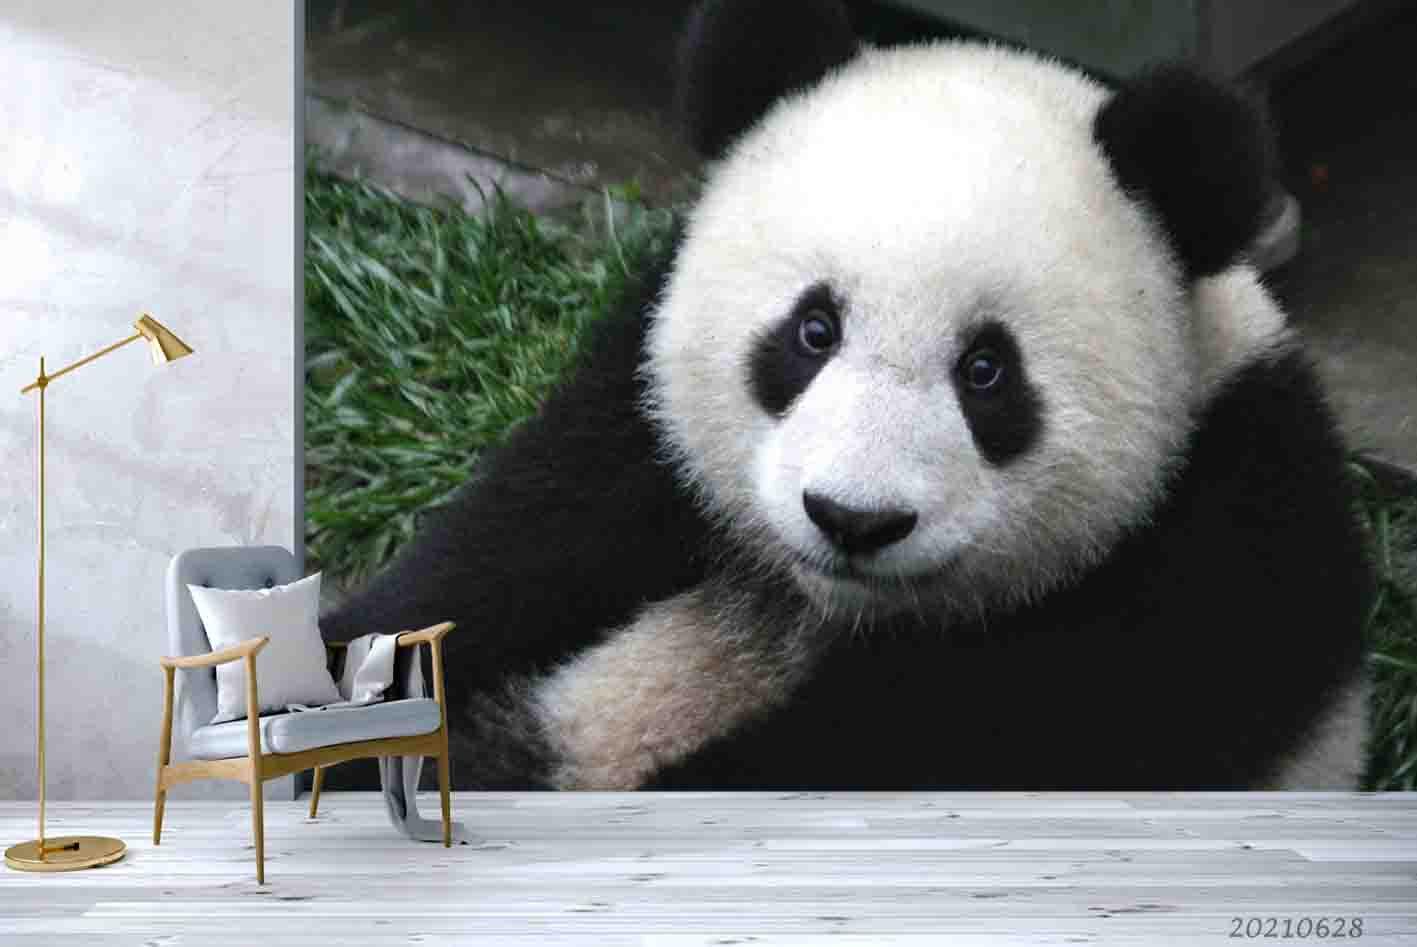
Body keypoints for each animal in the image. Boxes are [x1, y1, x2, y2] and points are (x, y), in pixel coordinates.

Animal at [320, 0, 1374, 790]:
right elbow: (504, 549)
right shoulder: (636, 418)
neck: (830, 608)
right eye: (812, 331)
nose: (852, 519)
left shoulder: (1211, 560)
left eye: (986, 372)